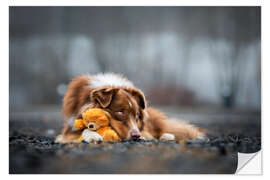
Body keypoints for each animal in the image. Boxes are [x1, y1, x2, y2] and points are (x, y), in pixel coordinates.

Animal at [55, 72, 207, 143]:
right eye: (120, 112)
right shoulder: (69, 128)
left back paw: (167, 136)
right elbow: (81, 131)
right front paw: (92, 135)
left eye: (137, 116)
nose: (136, 136)